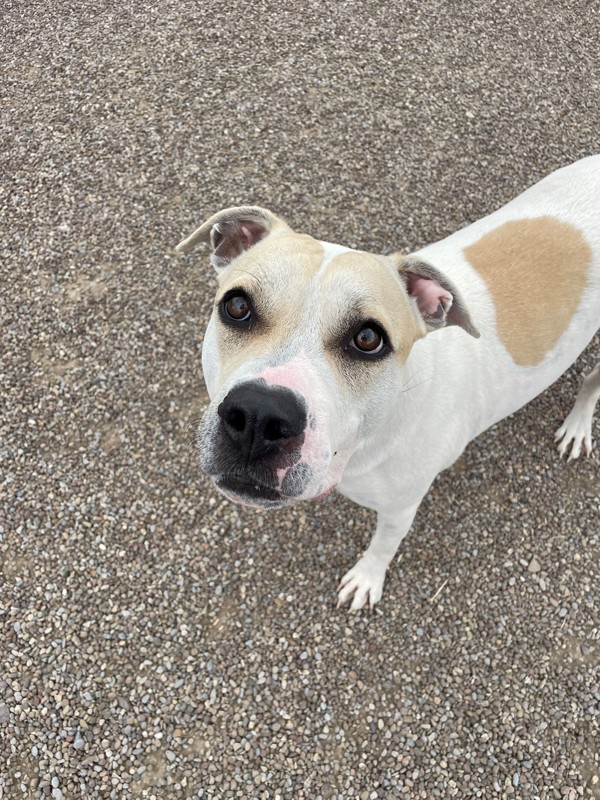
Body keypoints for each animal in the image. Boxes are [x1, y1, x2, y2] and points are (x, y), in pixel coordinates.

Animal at [177, 155, 600, 608]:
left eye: (368, 339)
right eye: (237, 305)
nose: (258, 416)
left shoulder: (400, 507)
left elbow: (384, 545)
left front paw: (367, 578)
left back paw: (577, 427)